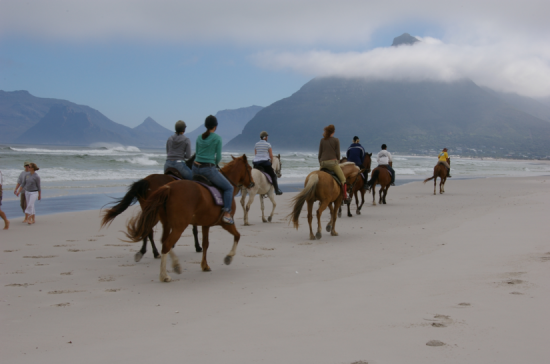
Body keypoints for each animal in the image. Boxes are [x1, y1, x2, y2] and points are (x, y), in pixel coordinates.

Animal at [124, 155, 254, 282]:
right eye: (249, 168)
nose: (252, 183)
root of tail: (168, 188)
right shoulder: (226, 223)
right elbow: (237, 236)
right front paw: (229, 257)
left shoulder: (205, 224)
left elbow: (206, 244)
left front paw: (204, 265)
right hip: (178, 226)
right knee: (165, 243)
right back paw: (164, 274)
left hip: (166, 223)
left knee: (162, 240)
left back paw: (172, 263)